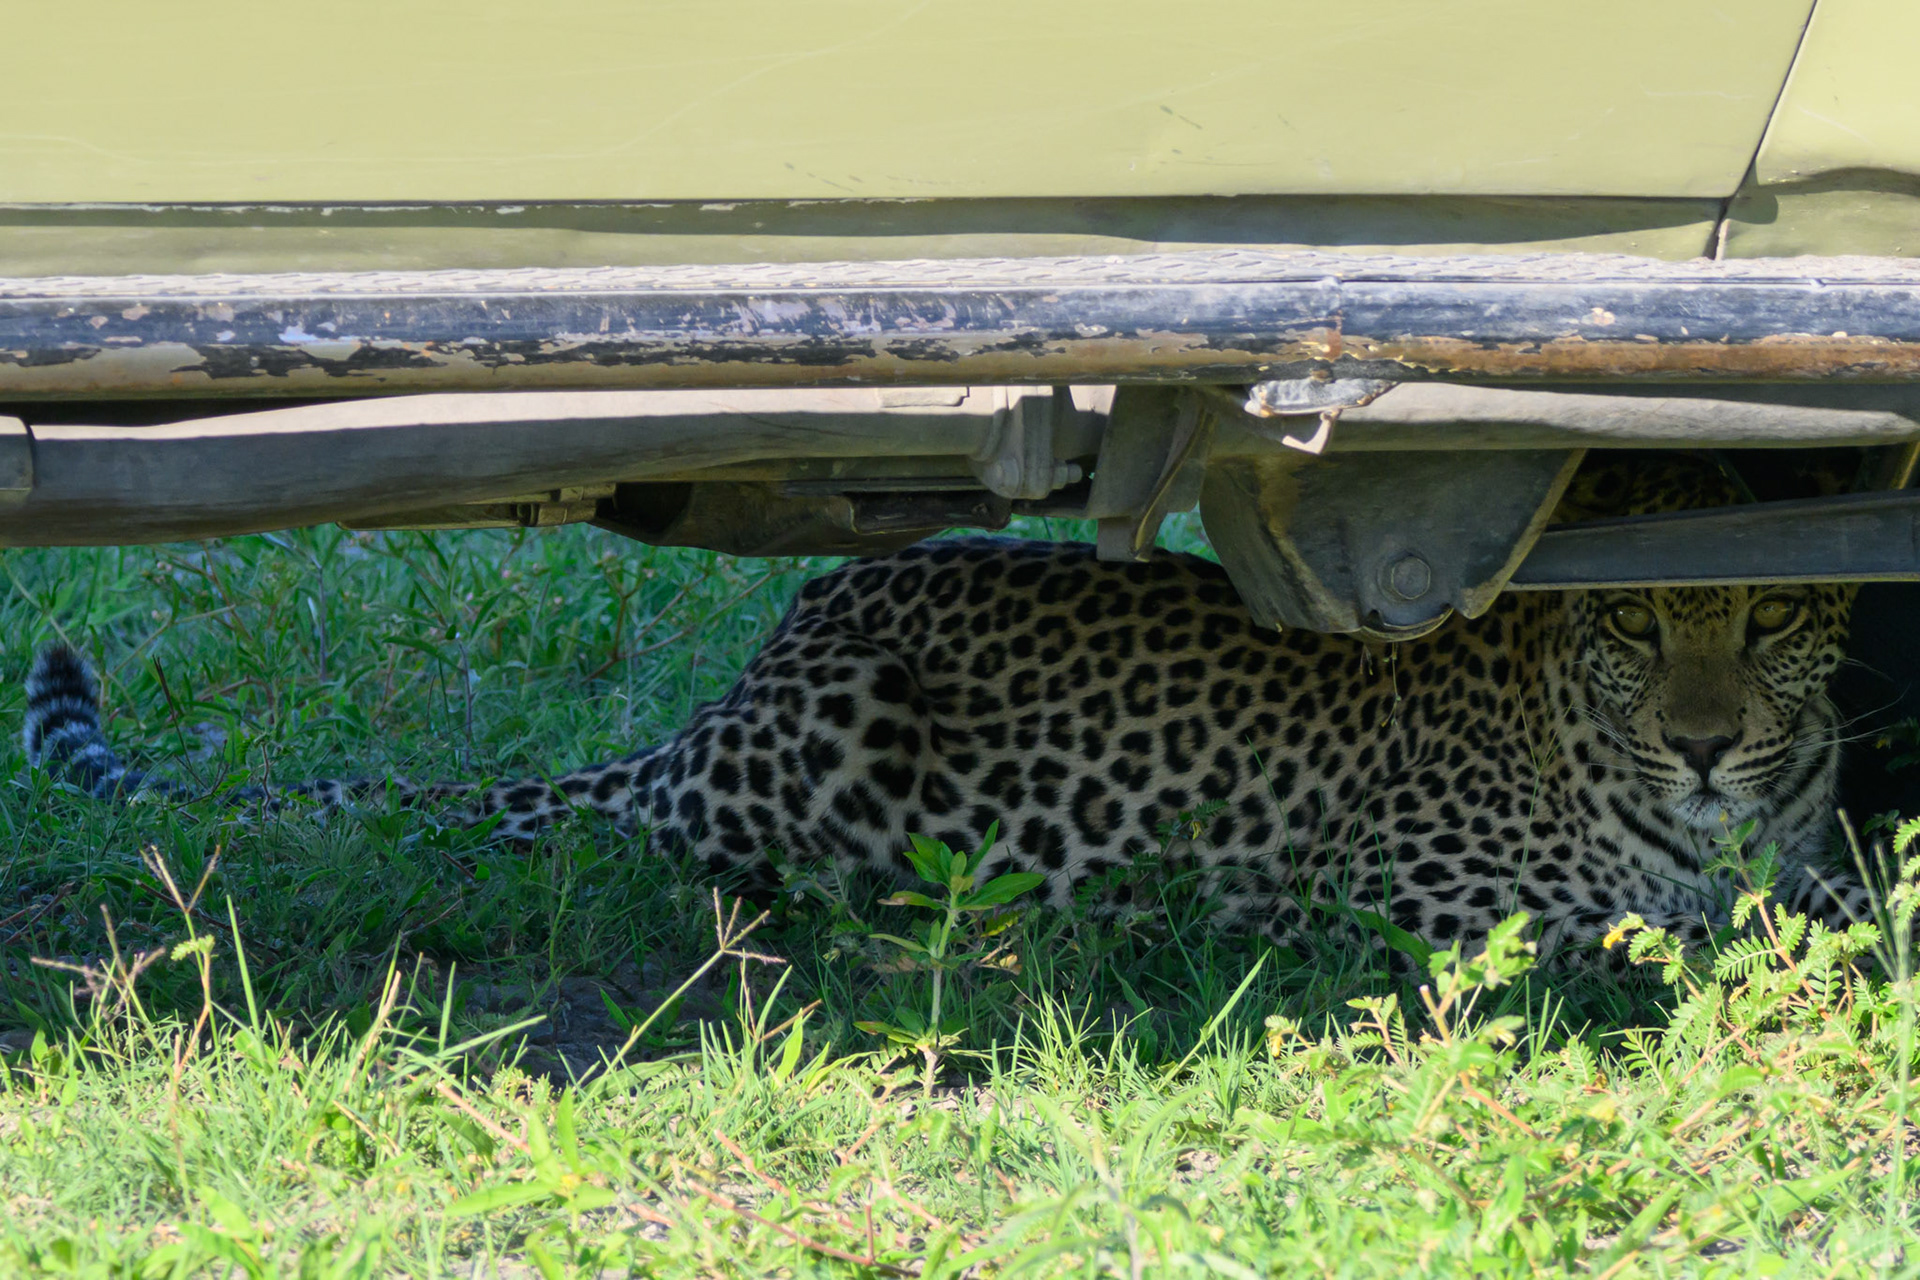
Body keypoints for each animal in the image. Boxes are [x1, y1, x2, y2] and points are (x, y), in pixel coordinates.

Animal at [21, 460, 1883, 965]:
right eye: (1633, 623)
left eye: (1775, 613)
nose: (1705, 742)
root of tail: (738, 689)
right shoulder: (1394, 893)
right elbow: (1632, 929)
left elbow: (1816, 896)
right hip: (833, 743)